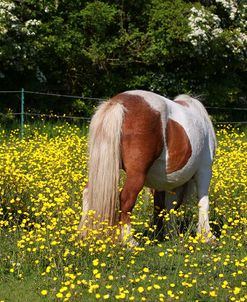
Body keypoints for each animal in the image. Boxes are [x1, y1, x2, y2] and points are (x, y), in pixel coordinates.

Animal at [78, 89, 216, 243]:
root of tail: (118, 102)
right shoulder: (204, 170)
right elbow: (203, 202)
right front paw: (207, 235)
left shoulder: (167, 181)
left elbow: (165, 205)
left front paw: (167, 233)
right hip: (137, 175)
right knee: (126, 198)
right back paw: (129, 241)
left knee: (88, 192)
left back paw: (84, 233)